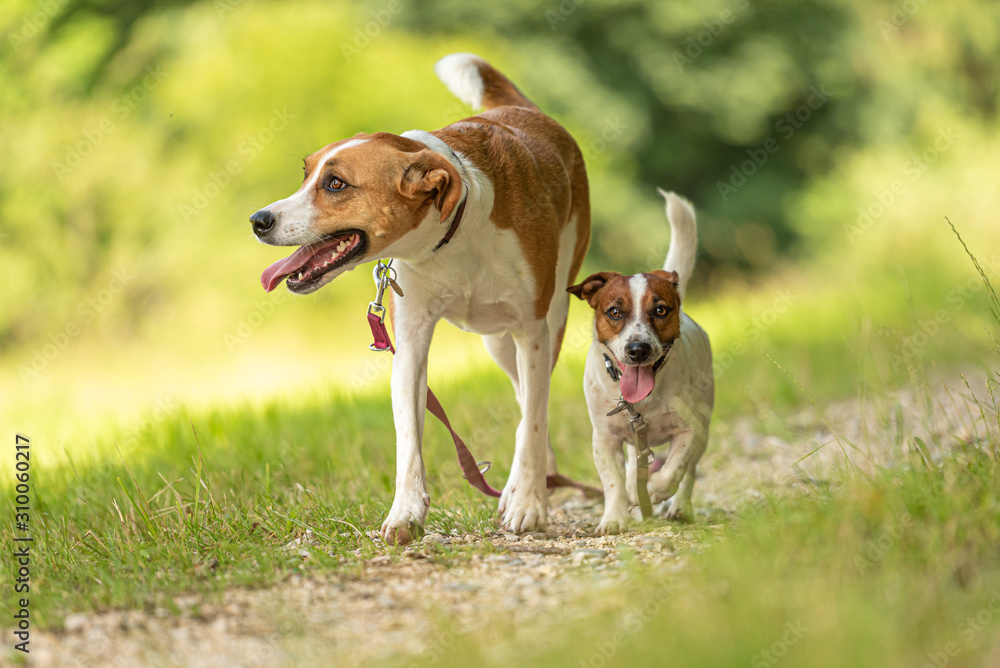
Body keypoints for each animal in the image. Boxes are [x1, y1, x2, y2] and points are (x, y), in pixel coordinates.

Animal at [250, 54, 588, 544]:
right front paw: (406, 512)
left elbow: (534, 420)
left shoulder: (533, 332)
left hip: (547, 319)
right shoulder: (409, 343)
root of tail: (523, 111)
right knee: (524, 395)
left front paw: (528, 502)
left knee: (531, 406)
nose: (259, 220)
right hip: (498, 342)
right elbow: (408, 438)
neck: (455, 235)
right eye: (307, 174)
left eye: (335, 184)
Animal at [572, 192, 712, 532]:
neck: (644, 403)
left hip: (704, 426)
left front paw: (654, 491)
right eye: (614, 311)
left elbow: (675, 469)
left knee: (689, 473)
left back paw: (677, 507)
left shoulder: (690, 431)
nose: (638, 349)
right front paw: (614, 518)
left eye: (661, 310)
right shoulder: (605, 439)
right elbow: (613, 483)